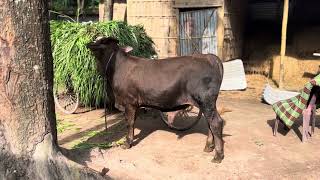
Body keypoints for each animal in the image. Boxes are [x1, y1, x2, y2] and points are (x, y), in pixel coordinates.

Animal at [86, 37, 224, 163]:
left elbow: (129, 122)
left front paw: (127, 143)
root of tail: (208, 57)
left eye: (102, 41)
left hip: (206, 101)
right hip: (206, 104)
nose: (88, 43)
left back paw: (218, 155)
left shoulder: (129, 102)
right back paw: (208, 147)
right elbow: (132, 122)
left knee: (216, 123)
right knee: (209, 123)